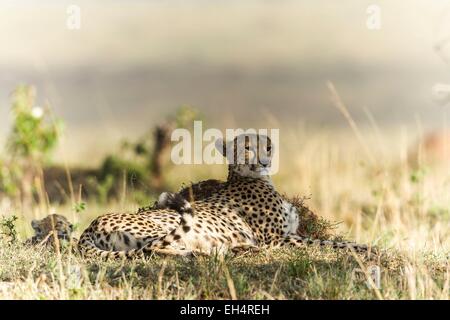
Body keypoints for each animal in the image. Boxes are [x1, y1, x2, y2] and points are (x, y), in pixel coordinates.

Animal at [77, 134, 372, 258]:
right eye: (247, 148)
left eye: (267, 146)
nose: (265, 160)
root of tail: (89, 227)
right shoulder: (279, 239)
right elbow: (328, 243)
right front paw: (368, 249)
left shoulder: (287, 234)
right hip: (160, 225)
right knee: (156, 248)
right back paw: (220, 251)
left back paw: (232, 248)